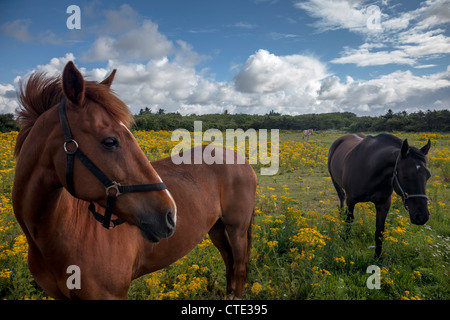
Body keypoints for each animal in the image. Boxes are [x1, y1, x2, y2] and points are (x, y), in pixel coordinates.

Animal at [12, 61, 256, 298]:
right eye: (110, 141)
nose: (171, 215)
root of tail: (238, 158)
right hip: (216, 228)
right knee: (229, 264)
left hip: (236, 229)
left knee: (239, 269)